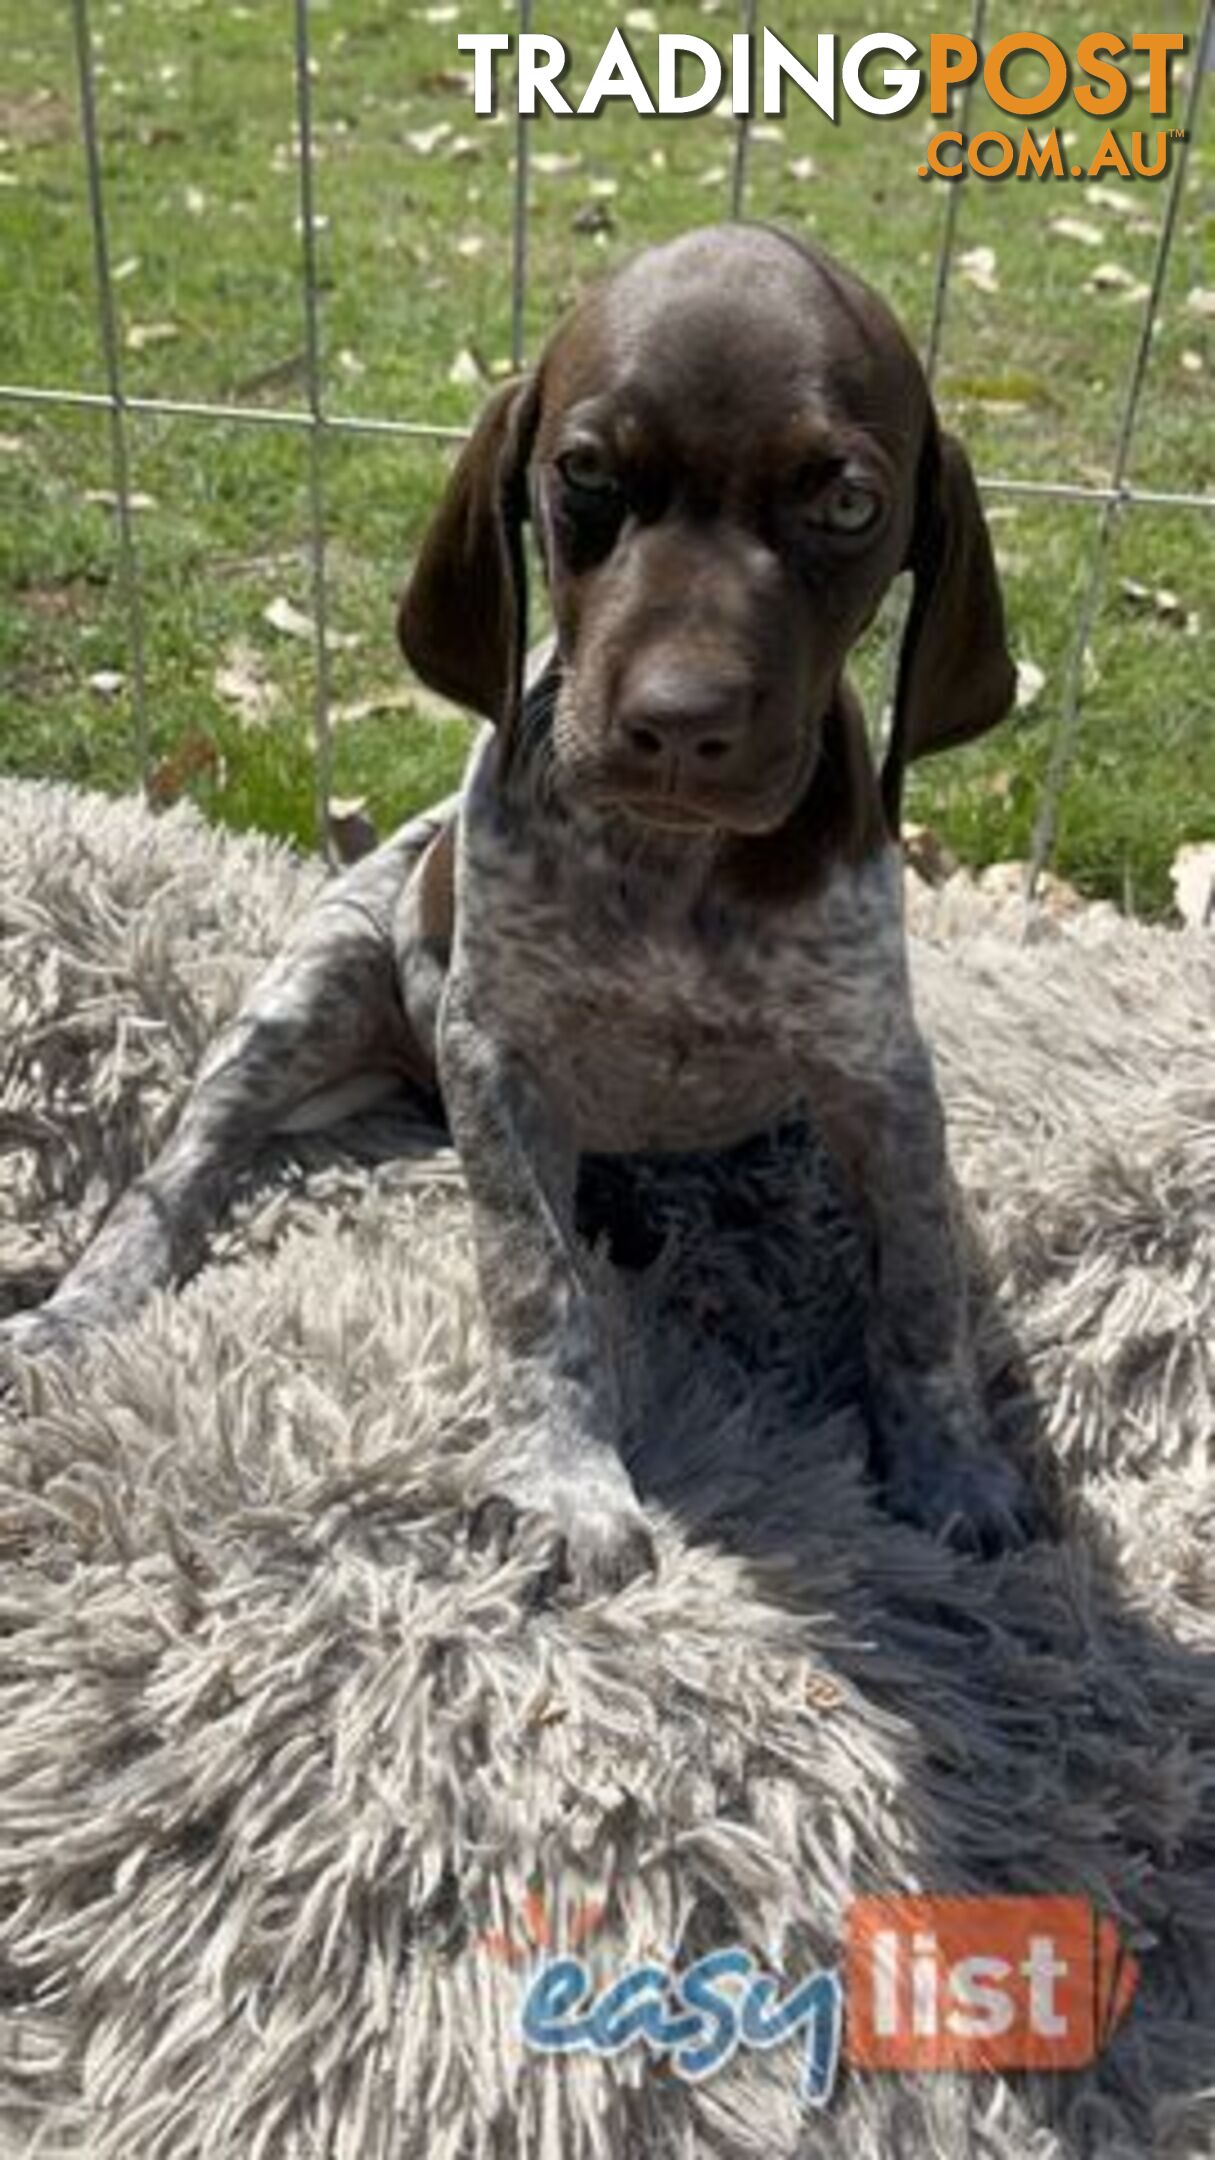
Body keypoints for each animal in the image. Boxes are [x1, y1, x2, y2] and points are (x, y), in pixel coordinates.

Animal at [4, 232, 1037, 1589]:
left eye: (848, 503)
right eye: (586, 474)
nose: (678, 724)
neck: (672, 862)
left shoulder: (880, 1072)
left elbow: (922, 1288)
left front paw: (953, 1465)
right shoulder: (496, 1053)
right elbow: (535, 1283)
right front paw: (561, 1482)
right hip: (310, 986)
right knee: (180, 1171)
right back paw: (84, 1304)